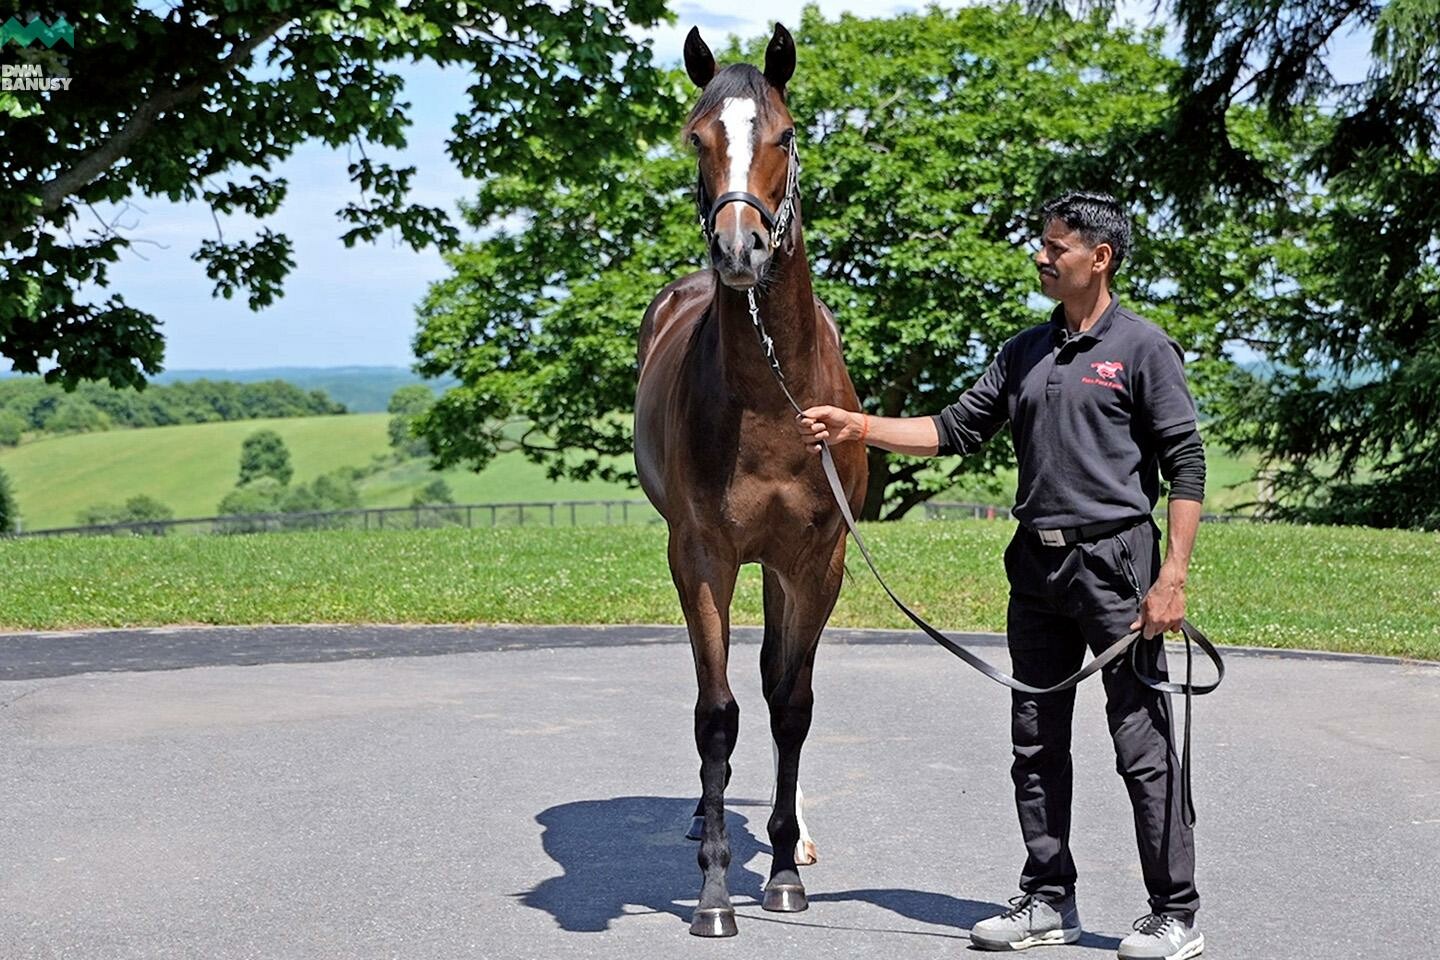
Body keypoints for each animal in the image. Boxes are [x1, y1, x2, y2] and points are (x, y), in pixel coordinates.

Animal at [633, 22, 864, 938]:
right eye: (696, 136)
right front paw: (714, 891)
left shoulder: (817, 561)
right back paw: (711, 815)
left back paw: (793, 835)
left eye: (787, 135)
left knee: (774, 683)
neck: (772, 398)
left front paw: (784, 873)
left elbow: (791, 704)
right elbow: (718, 713)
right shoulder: (702, 557)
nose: (740, 251)